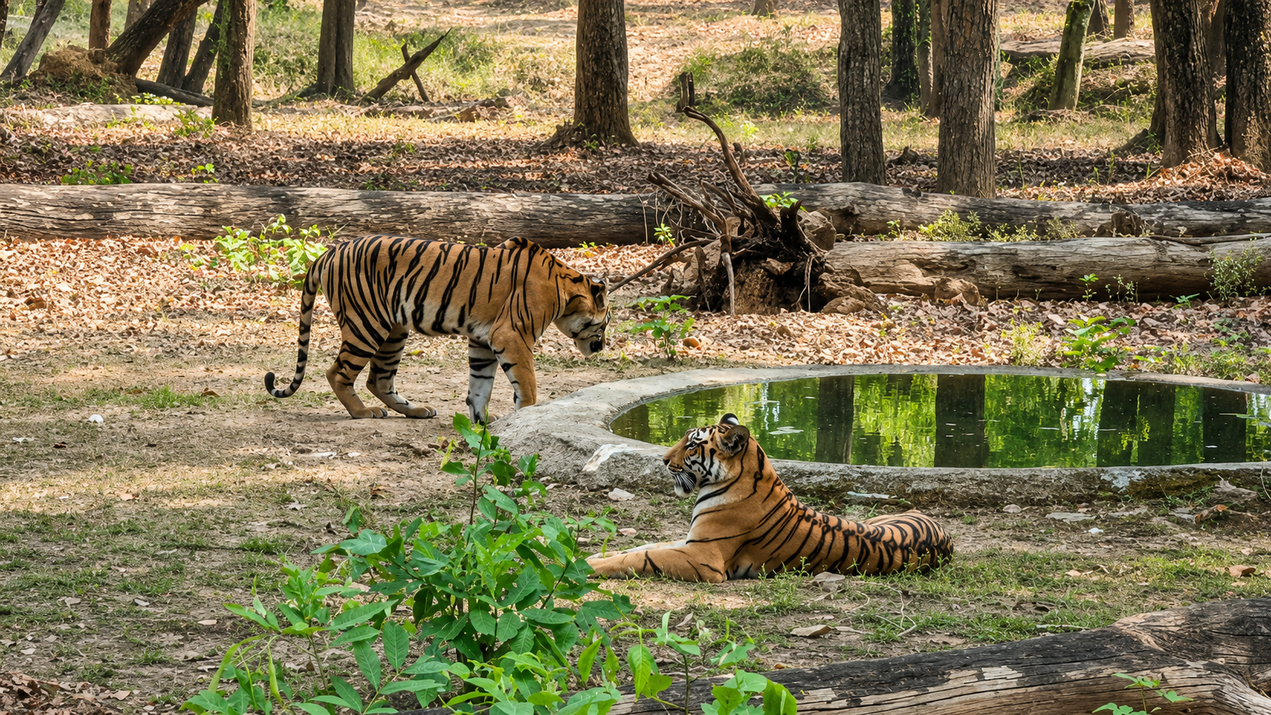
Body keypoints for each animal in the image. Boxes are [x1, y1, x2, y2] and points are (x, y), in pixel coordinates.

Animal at [265, 235, 610, 423]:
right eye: (605, 323)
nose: (602, 346)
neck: (565, 291)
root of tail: (329, 252)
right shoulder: (512, 336)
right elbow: (527, 385)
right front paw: (525, 418)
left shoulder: (483, 341)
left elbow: (480, 386)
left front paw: (483, 423)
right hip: (367, 325)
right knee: (337, 373)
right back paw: (363, 412)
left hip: (394, 330)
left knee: (379, 380)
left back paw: (417, 410)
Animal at [587, 414, 953, 583]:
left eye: (691, 445)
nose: (663, 460)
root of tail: (943, 531)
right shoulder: (690, 540)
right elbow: (643, 546)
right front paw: (590, 556)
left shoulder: (704, 558)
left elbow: (642, 557)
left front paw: (590, 566)